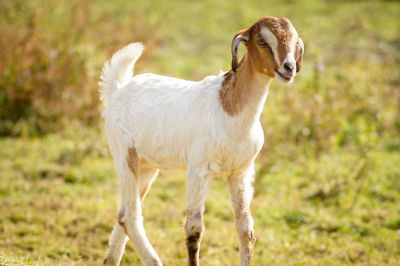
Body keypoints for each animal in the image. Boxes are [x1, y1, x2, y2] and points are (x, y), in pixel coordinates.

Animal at [99, 16, 304, 266]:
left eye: (294, 40)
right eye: (262, 41)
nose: (289, 68)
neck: (231, 110)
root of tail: (117, 90)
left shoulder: (241, 172)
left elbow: (246, 229)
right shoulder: (198, 170)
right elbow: (194, 229)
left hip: (146, 167)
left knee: (122, 216)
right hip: (124, 155)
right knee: (130, 215)